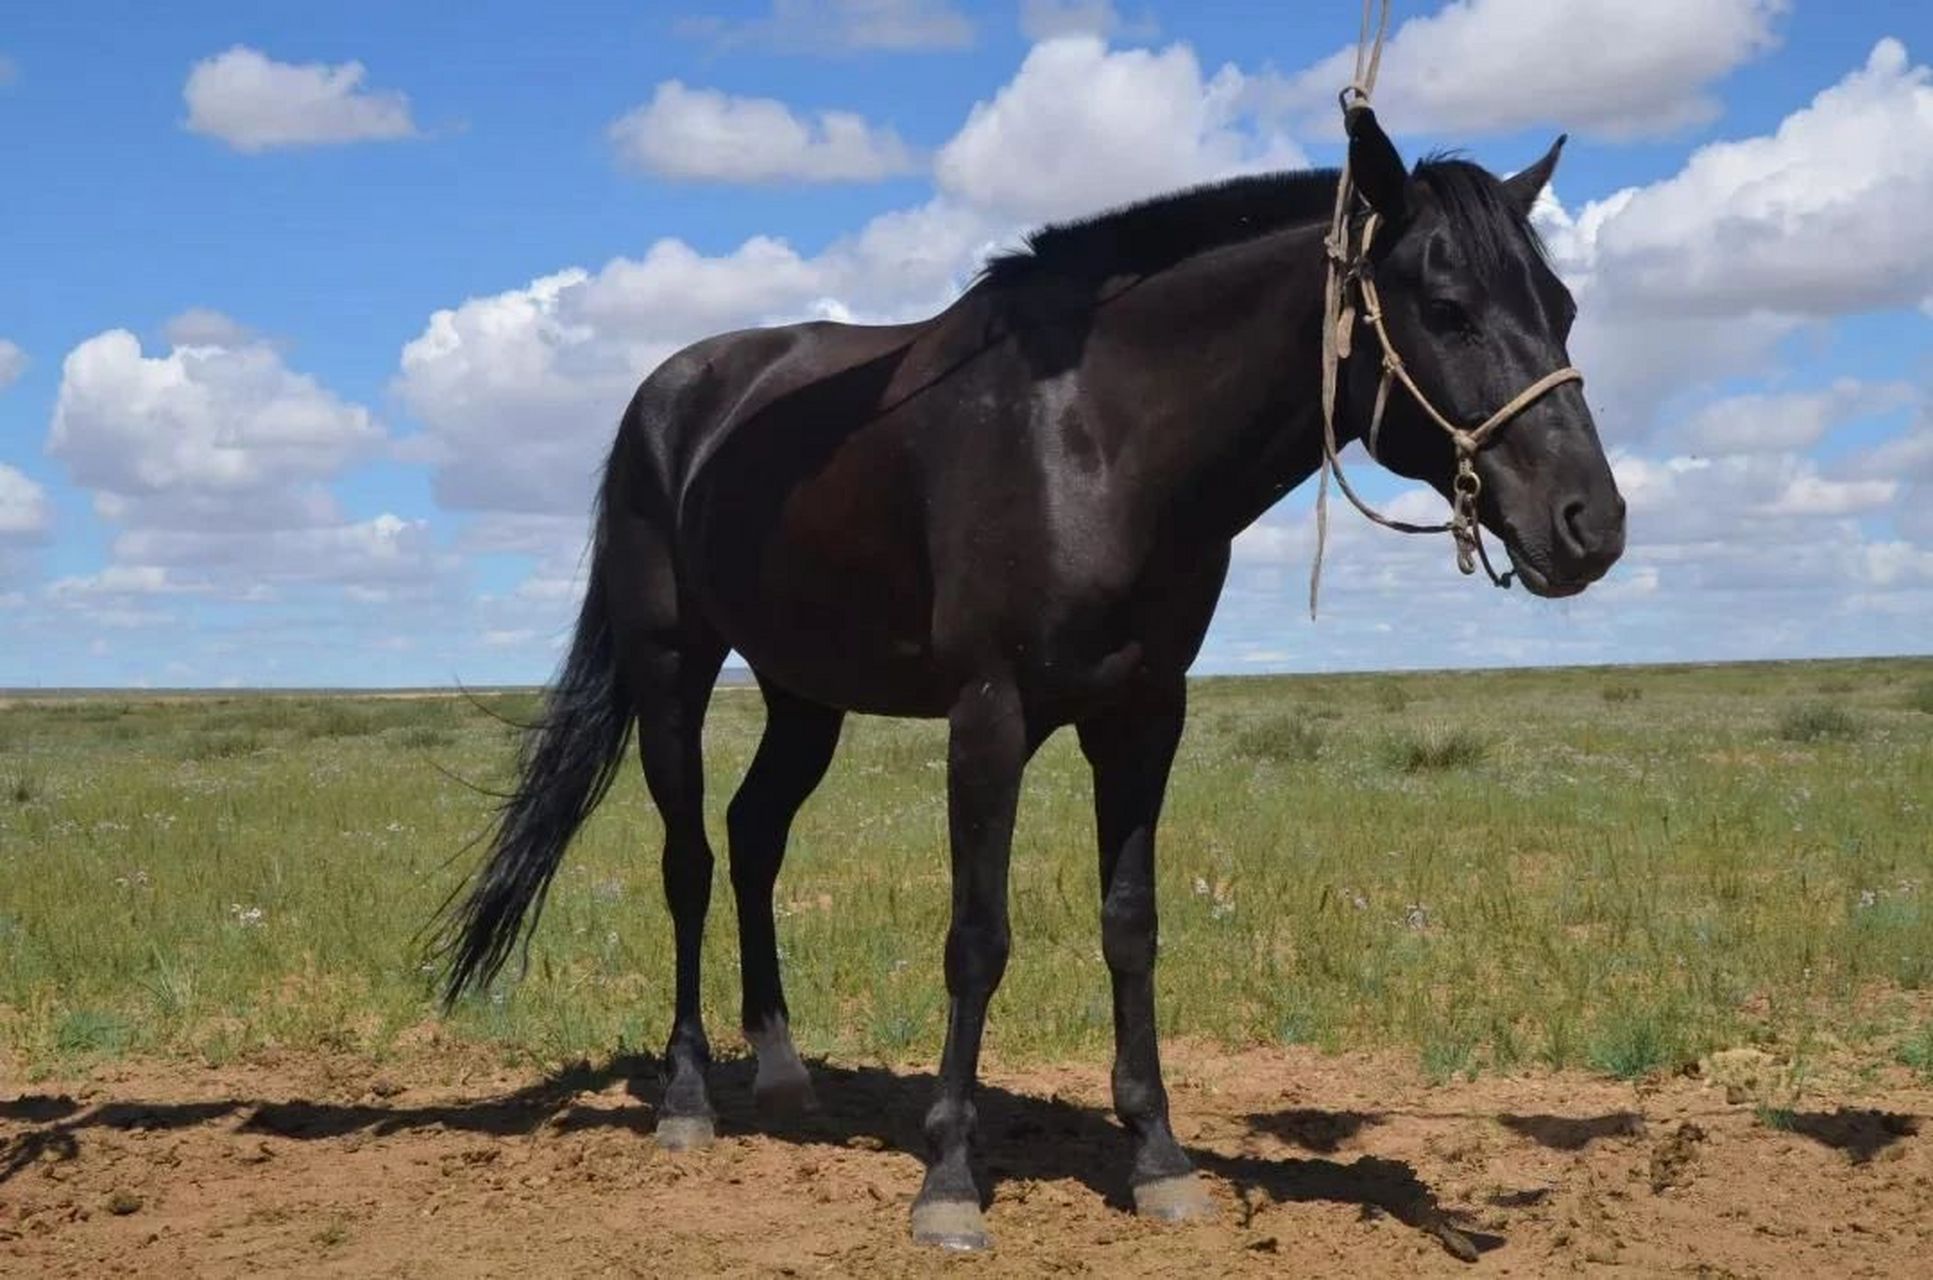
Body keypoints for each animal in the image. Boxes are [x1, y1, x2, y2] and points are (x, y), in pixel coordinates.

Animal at [434, 107, 1626, 1250]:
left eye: (1564, 307)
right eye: (1446, 306)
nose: (1592, 524)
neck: (1096, 437)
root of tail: (671, 393)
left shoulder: (1144, 715)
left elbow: (1131, 926)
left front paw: (1159, 1159)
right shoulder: (990, 716)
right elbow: (977, 937)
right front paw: (950, 1182)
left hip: (804, 692)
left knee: (754, 832)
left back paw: (781, 1070)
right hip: (672, 671)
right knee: (688, 859)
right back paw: (688, 1100)